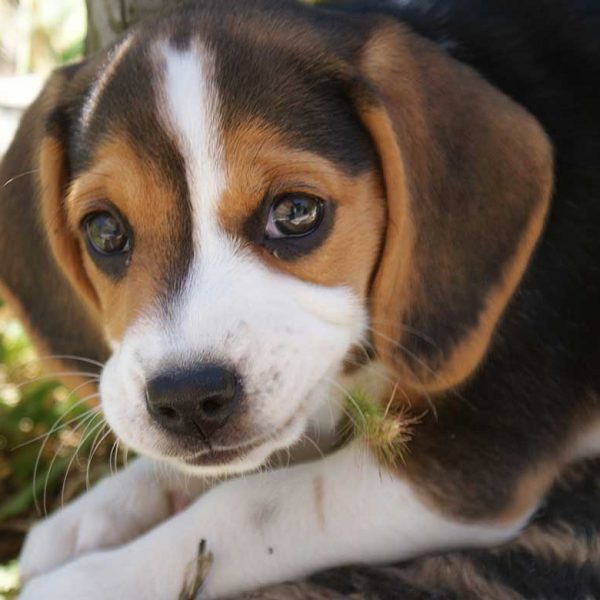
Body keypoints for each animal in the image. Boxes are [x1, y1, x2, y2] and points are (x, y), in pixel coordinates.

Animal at [1, 0, 599, 597]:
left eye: (294, 211)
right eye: (104, 231)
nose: (187, 398)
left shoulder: (467, 462)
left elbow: (247, 505)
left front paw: (93, 579)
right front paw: (95, 513)